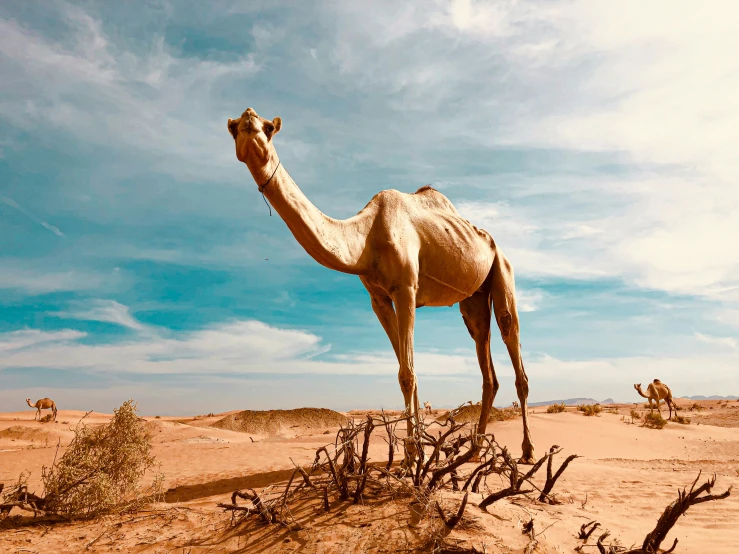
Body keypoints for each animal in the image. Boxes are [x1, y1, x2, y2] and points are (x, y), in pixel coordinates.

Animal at [228, 106, 536, 462]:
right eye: (235, 128)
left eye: (267, 127)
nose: (248, 124)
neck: (366, 236)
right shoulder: (379, 299)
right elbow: (407, 369)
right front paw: (414, 454)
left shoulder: (406, 289)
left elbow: (407, 374)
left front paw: (412, 454)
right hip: (472, 298)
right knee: (486, 359)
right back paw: (473, 450)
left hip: (502, 270)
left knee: (511, 338)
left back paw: (527, 450)